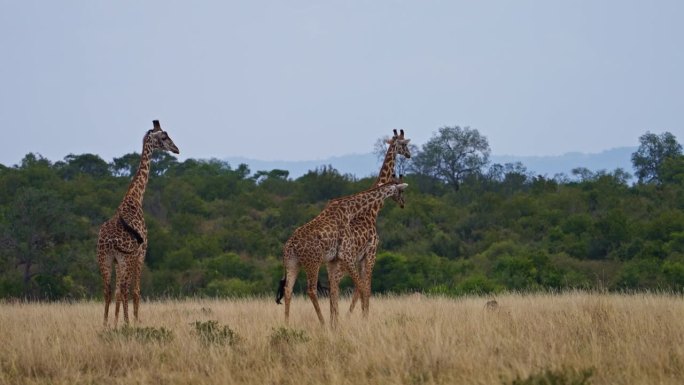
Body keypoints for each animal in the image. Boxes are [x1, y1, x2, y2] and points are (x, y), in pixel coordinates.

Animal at [99, 118, 180, 326]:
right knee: (125, 289)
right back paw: (127, 323)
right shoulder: (141, 252)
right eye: (164, 136)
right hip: (125, 258)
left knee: (108, 290)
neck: (135, 198)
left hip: (105, 258)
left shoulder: (119, 260)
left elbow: (117, 292)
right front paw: (134, 322)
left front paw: (116, 322)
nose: (176, 149)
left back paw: (105, 324)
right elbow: (135, 291)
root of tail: (108, 242)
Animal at [276, 178, 408, 326]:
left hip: (293, 263)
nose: (403, 203)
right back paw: (322, 323)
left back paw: (287, 323)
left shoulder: (334, 260)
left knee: (288, 290)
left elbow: (335, 291)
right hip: (313, 262)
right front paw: (365, 319)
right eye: (401, 191)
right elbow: (362, 287)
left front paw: (336, 324)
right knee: (311, 290)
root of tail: (290, 245)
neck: (351, 209)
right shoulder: (347, 255)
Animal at [348, 129, 412, 316]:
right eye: (404, 144)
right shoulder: (371, 252)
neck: (373, 210)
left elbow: (361, 287)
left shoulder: (362, 257)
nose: (409, 155)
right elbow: (365, 287)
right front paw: (363, 316)